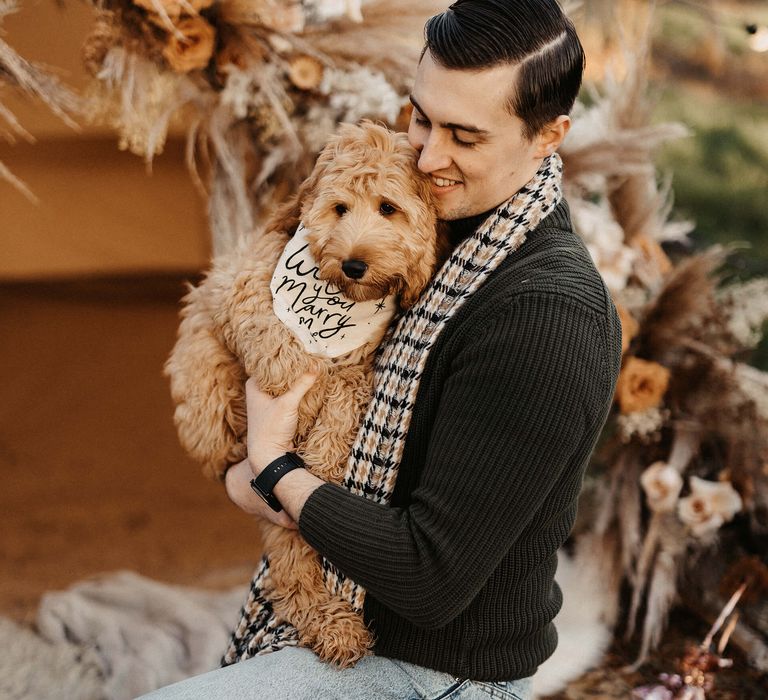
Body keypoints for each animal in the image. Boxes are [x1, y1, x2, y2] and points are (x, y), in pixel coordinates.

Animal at [165, 120, 440, 668]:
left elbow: (342, 403)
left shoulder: (358, 369)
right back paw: (336, 627)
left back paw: (338, 628)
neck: (334, 303)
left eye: (388, 208)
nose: (353, 264)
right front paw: (286, 365)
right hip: (205, 381)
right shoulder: (237, 277)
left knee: (293, 568)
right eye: (339, 208)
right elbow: (256, 308)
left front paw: (322, 460)